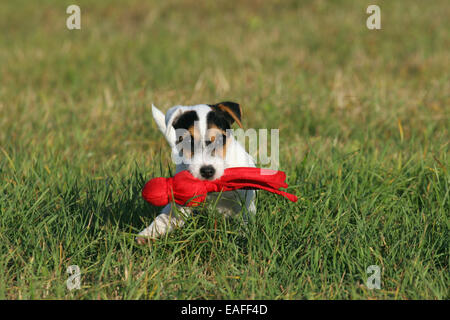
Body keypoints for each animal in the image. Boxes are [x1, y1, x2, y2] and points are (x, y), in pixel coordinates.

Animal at [136, 101, 256, 244]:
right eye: (188, 141)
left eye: (219, 140)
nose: (207, 171)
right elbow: (165, 218)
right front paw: (147, 234)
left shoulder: (244, 196)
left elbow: (245, 215)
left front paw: (243, 235)